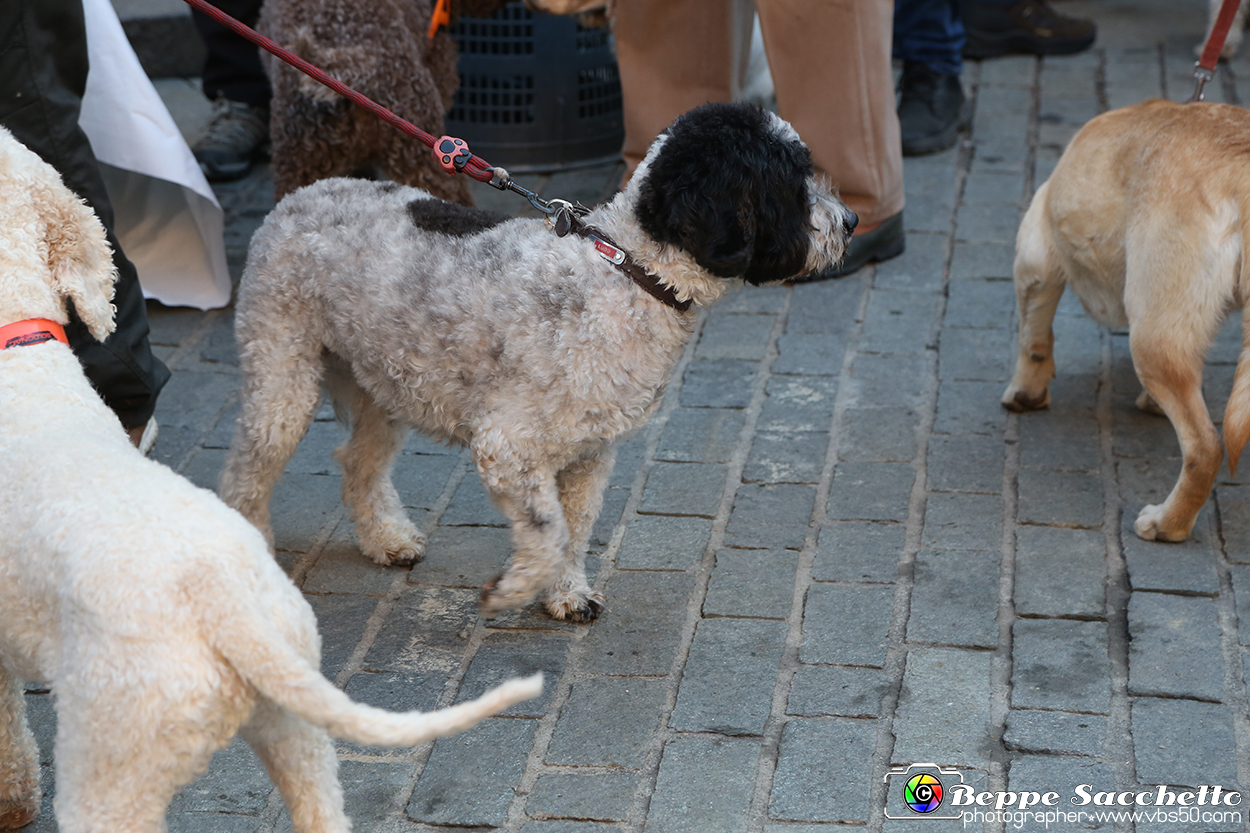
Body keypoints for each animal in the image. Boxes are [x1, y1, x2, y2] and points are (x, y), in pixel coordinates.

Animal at [222, 103, 860, 620]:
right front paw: (512, 590)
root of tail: (298, 195)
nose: (852, 222)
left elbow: (574, 533)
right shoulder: (507, 449)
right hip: (281, 377)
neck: (627, 270)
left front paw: (566, 594)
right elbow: (549, 533)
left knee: (358, 461)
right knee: (244, 479)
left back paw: (386, 538)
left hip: (386, 384)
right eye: (789, 183)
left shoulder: (589, 454)